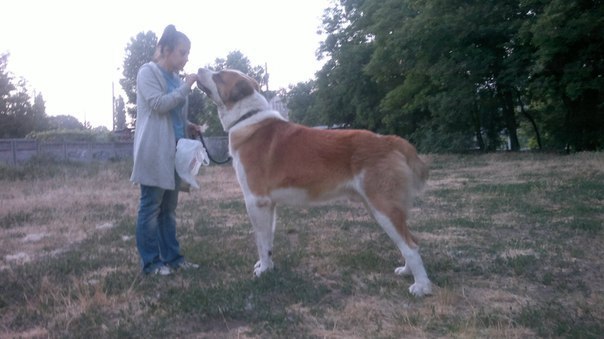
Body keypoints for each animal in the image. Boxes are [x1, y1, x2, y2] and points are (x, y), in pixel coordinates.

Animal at [196, 67, 432, 296]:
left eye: (218, 75)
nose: (198, 69)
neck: (248, 119)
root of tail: (388, 140)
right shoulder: (269, 205)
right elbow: (269, 240)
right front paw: (268, 267)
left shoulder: (256, 201)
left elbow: (261, 242)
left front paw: (263, 270)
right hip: (379, 208)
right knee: (410, 241)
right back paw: (407, 271)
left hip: (383, 207)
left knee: (410, 245)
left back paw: (422, 286)